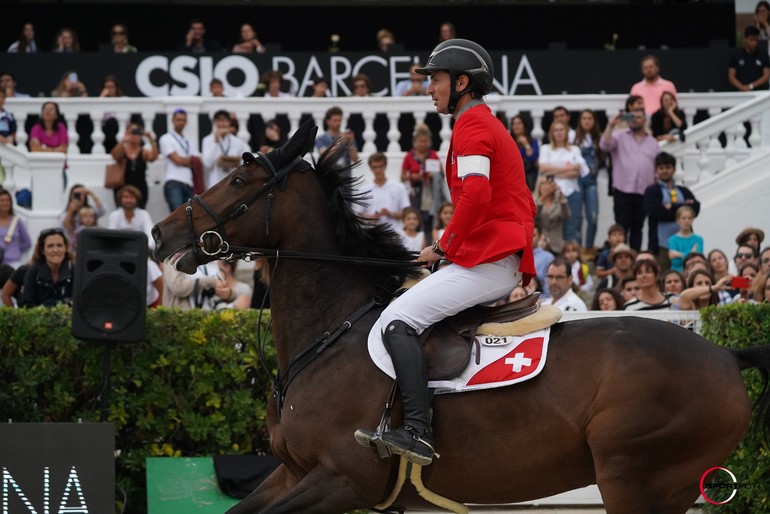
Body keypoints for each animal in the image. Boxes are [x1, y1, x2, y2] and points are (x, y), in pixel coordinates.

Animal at [153, 120, 768, 512]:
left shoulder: (342, 480)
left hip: (633, 478)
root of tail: (723, 353)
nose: (162, 231)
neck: (331, 331)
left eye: (238, 181)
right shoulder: (294, 472)